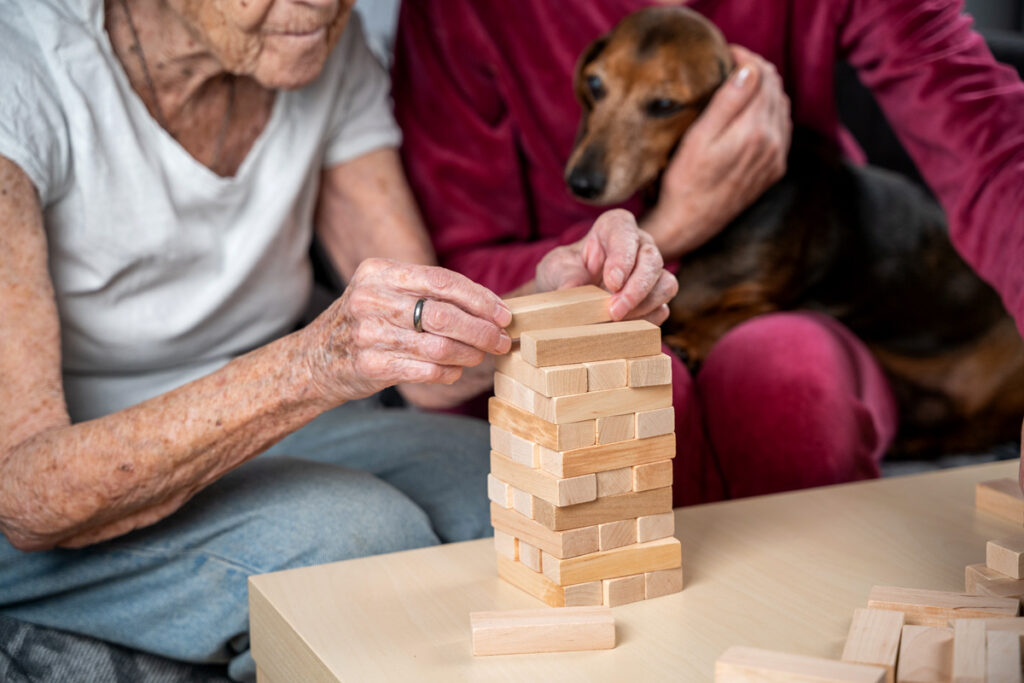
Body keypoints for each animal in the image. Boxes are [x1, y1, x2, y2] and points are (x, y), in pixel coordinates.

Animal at [569, 6, 1024, 454]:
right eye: (595, 83)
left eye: (664, 104)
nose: (581, 181)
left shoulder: (778, 299)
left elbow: (734, 314)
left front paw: (690, 340)